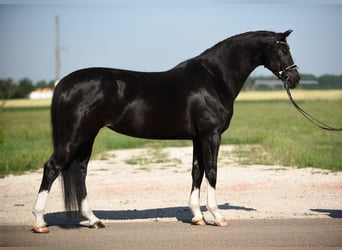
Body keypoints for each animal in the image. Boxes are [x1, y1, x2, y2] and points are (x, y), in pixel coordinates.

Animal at [32, 29, 300, 232]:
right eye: (284, 50)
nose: (295, 79)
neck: (214, 78)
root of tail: (64, 83)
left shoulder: (197, 137)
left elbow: (197, 172)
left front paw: (197, 216)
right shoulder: (211, 134)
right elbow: (212, 172)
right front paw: (217, 216)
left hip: (87, 136)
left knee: (79, 171)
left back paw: (93, 220)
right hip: (75, 136)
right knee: (52, 167)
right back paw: (39, 222)